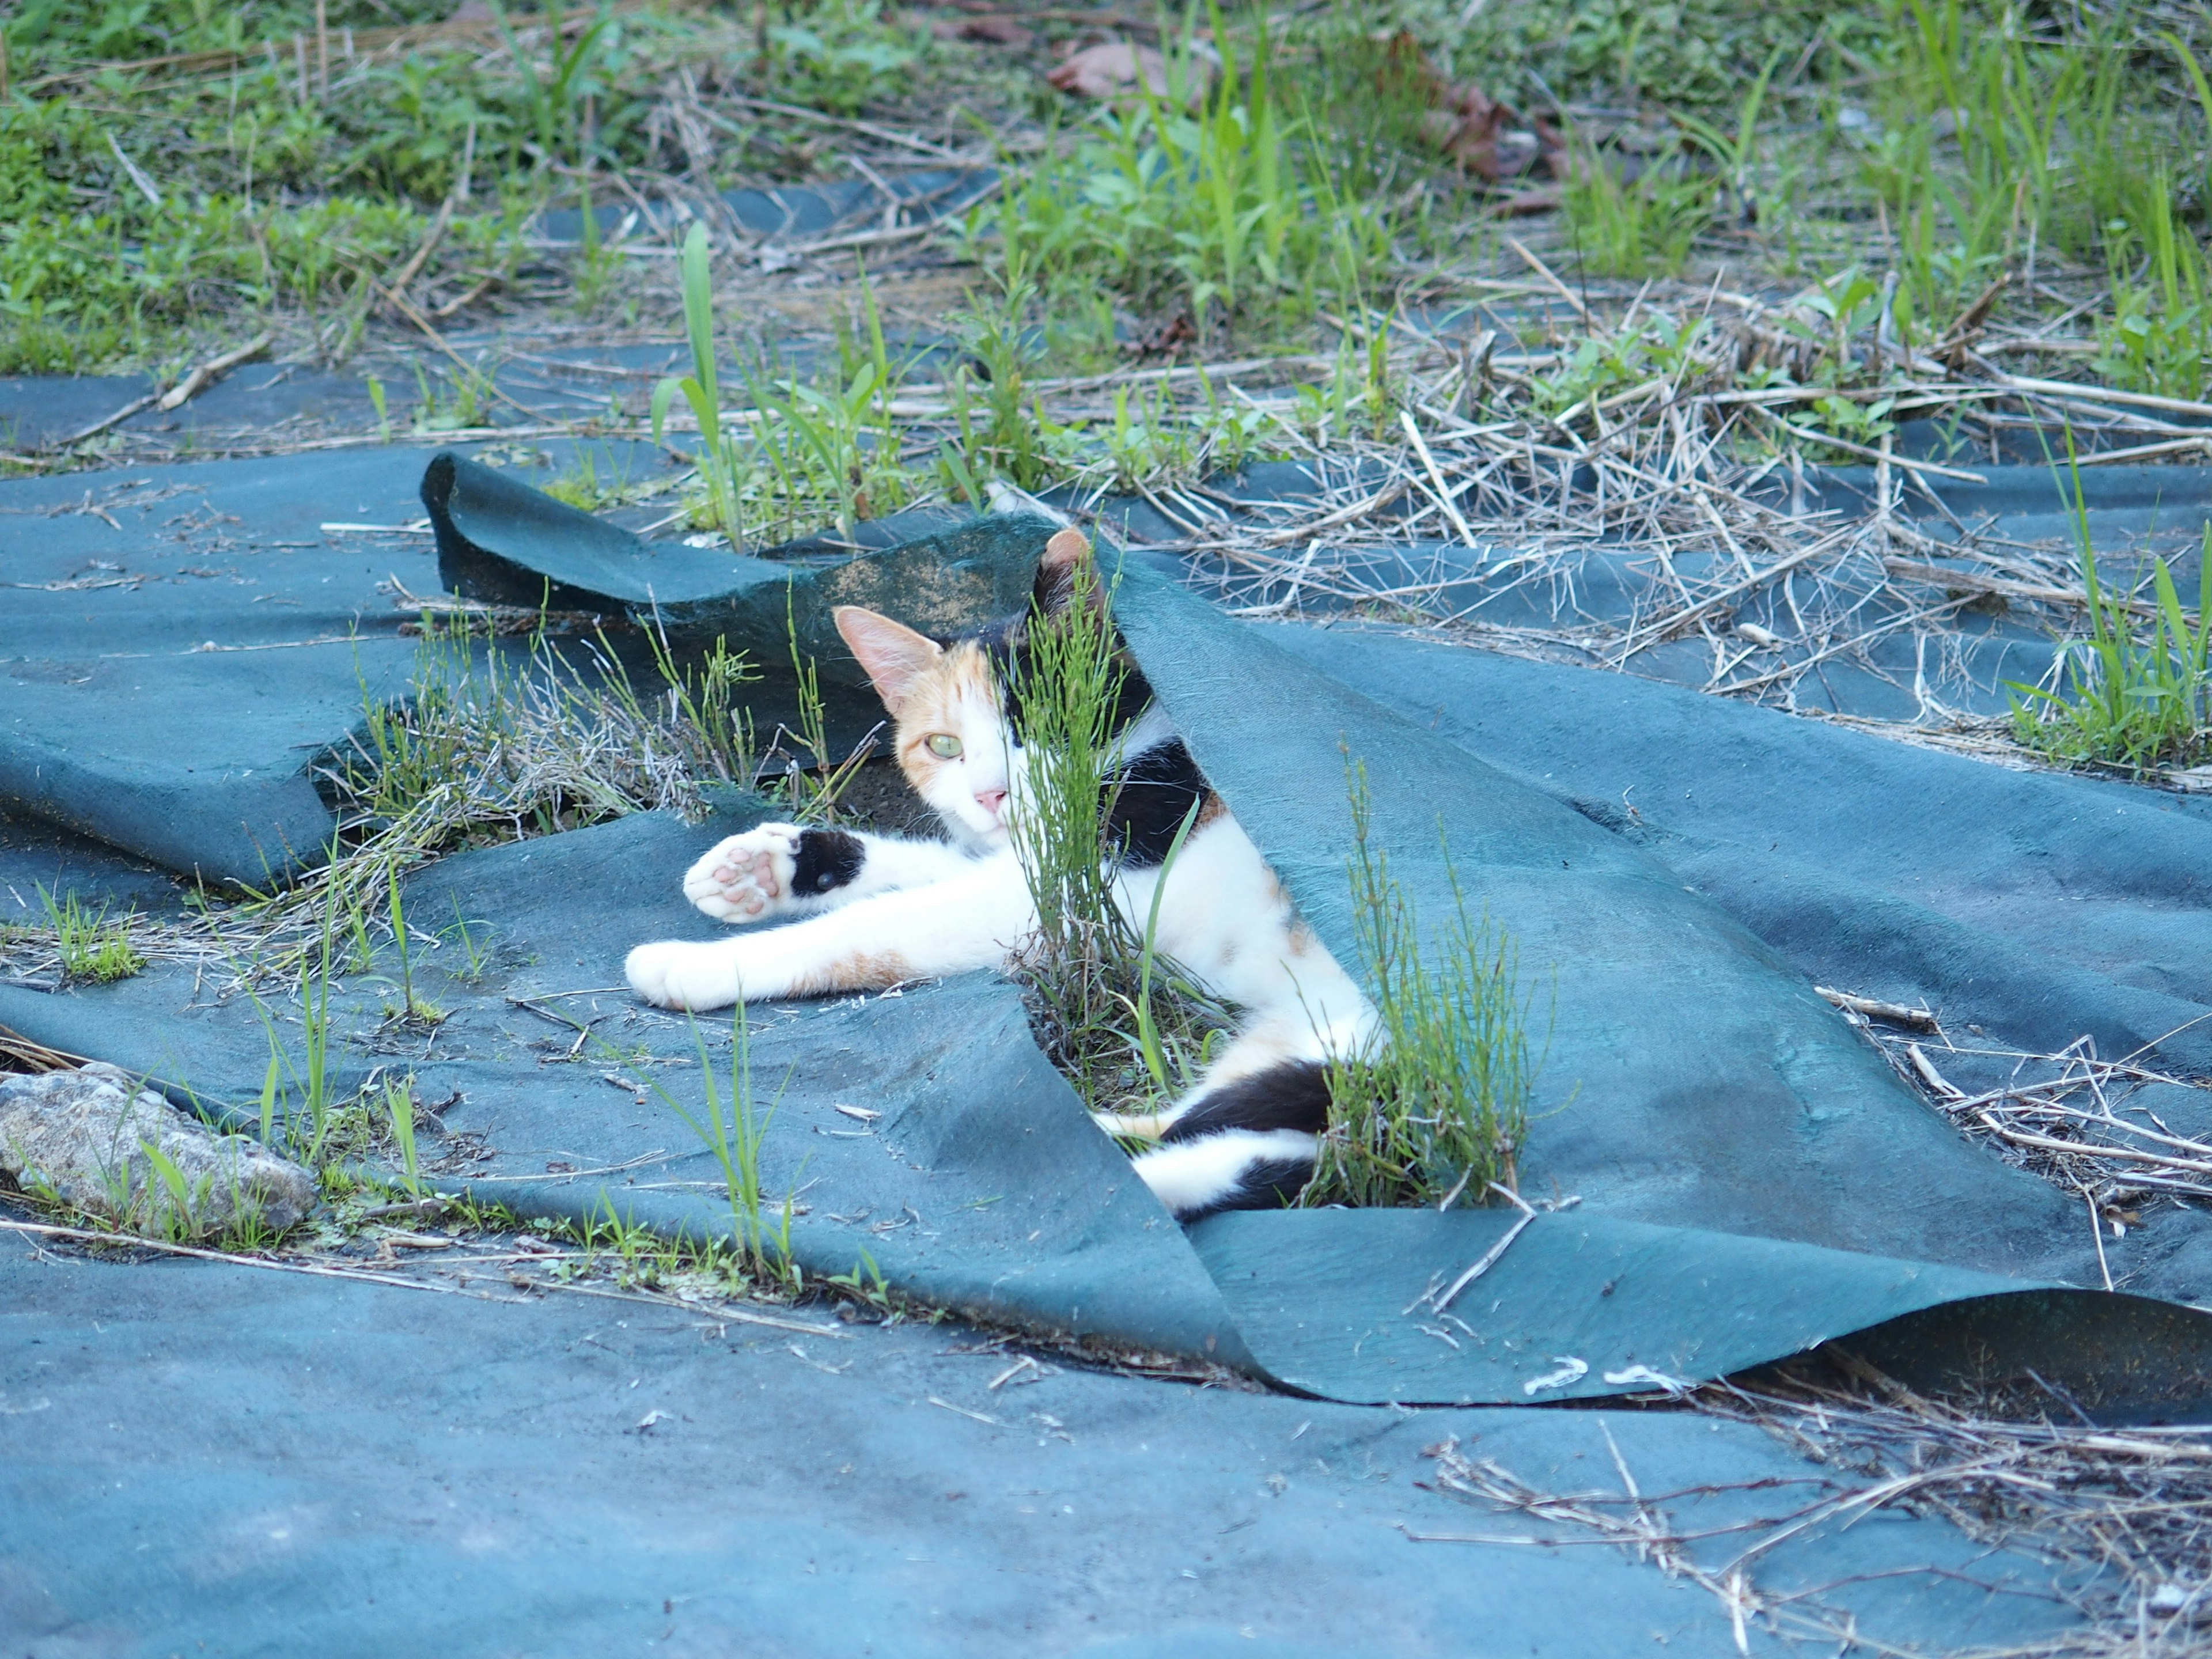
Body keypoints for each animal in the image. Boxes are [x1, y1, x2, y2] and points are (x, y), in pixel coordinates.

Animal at [623, 533, 1371, 1221]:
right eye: (943, 745)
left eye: (1035, 719)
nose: (989, 794)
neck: (1134, 754)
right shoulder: (1017, 865)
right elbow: (924, 868)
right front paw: (761, 869)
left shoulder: (1090, 883)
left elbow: (879, 926)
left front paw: (699, 964)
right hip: (1301, 1043)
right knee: (1281, 1151)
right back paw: (1084, 1152)